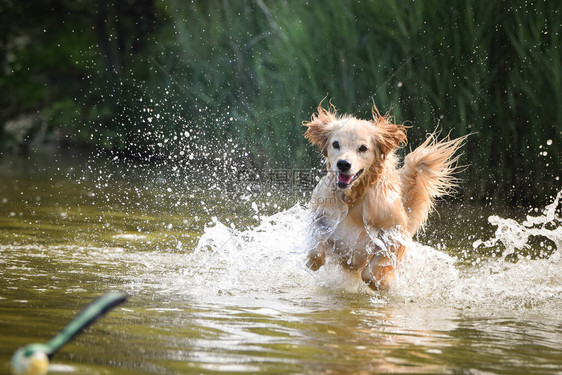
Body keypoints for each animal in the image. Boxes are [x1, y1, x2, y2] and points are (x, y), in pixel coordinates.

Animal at [302, 102, 464, 290]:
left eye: (363, 148)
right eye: (336, 144)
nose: (343, 164)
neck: (354, 198)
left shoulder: (395, 230)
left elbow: (371, 272)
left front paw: (382, 283)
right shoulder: (322, 216)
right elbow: (314, 249)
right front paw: (313, 262)